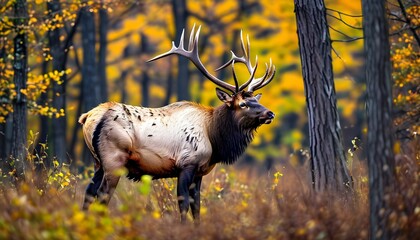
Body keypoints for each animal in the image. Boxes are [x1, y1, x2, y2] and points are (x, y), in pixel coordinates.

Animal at [79, 25, 276, 222]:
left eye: (256, 100)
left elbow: (197, 206)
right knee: (102, 196)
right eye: (243, 104)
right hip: (114, 159)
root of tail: (88, 117)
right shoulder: (186, 163)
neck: (214, 138)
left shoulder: (199, 172)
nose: (270, 113)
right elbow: (183, 204)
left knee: (88, 193)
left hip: (98, 162)